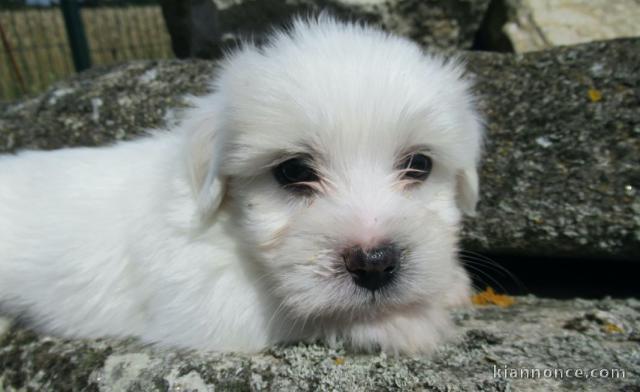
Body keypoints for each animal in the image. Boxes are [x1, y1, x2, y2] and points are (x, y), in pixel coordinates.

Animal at [0, 16, 480, 354]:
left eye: (419, 164)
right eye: (293, 171)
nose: (375, 263)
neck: (230, 229)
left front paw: (449, 284)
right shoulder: (198, 300)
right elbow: (292, 310)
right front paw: (405, 321)